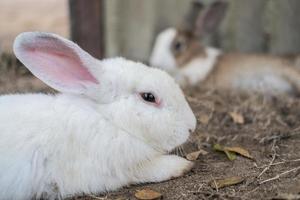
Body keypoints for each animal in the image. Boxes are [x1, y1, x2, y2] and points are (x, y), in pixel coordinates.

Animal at [0, 32, 196, 199]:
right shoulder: (114, 170)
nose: (192, 126)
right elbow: (150, 168)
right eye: (149, 97)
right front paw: (182, 165)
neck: (107, 119)